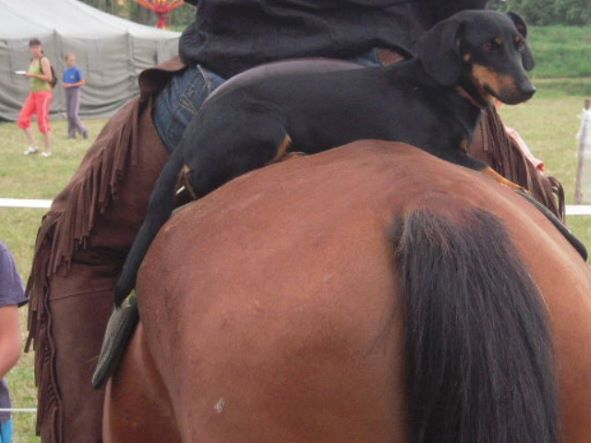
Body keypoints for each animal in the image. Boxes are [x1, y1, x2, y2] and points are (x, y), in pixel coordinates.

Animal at [115, 10, 538, 305]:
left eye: (518, 43)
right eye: (488, 46)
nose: (528, 89)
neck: (442, 88)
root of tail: (195, 129)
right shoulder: (434, 148)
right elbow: (492, 170)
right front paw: (520, 190)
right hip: (266, 124)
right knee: (211, 179)